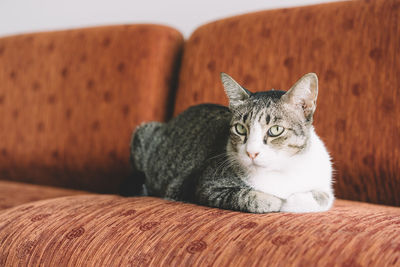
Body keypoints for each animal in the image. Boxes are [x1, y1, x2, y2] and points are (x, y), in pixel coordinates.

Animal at [131, 73, 334, 214]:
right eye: (240, 129)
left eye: (275, 130)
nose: (252, 152)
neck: (282, 171)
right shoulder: (203, 186)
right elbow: (250, 197)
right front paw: (278, 201)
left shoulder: (325, 185)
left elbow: (323, 197)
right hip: (143, 133)